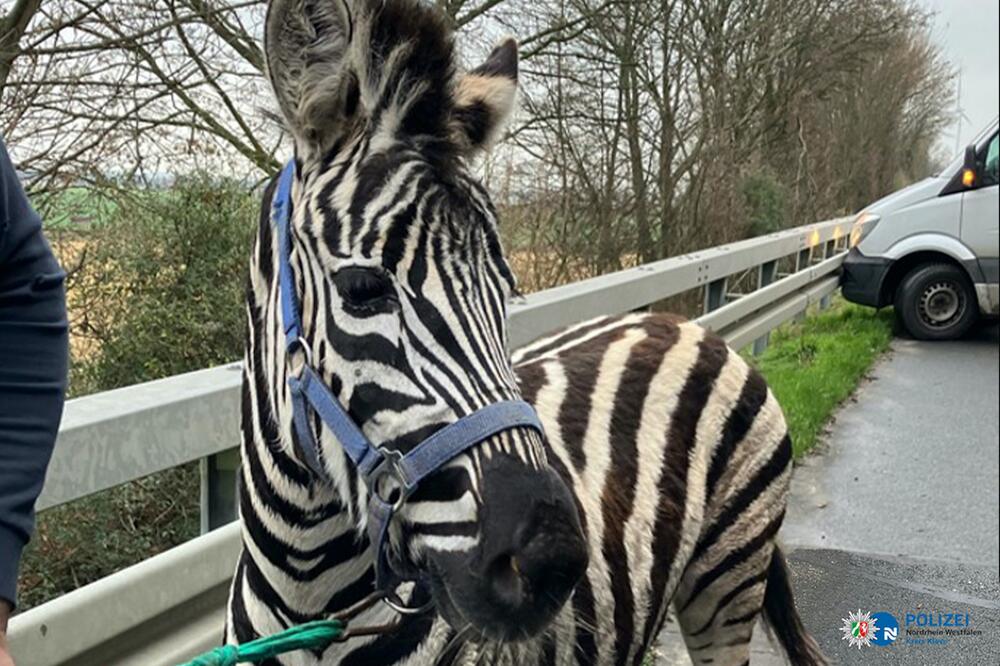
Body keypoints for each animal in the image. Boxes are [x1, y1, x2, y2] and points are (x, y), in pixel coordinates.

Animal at [227, 1, 828, 664]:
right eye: (361, 289)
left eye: (504, 292)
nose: (551, 565)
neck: (308, 595)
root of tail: (682, 323)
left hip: (726, 584)